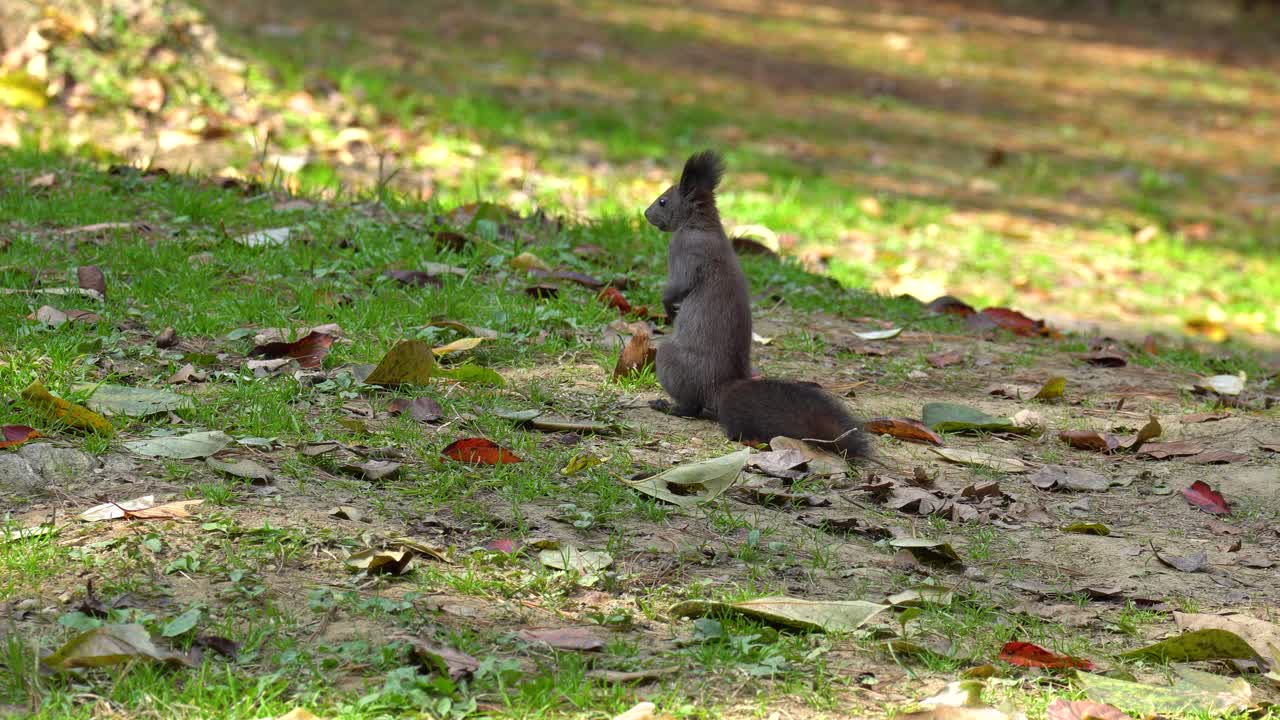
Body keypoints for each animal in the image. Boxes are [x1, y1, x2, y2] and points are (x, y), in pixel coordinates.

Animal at [643, 150, 869, 460]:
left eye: (663, 201)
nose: (646, 214)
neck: (701, 223)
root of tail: (722, 388)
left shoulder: (685, 253)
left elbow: (677, 286)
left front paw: (667, 308)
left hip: (669, 360)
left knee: (691, 408)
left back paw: (667, 406)